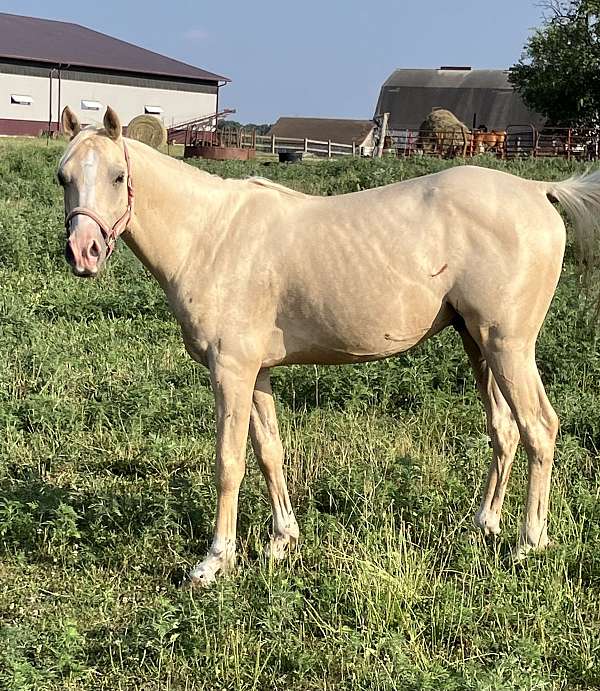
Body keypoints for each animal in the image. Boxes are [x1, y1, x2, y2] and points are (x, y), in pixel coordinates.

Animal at [58, 105, 600, 587]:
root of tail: (538, 191)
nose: (83, 253)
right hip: (477, 344)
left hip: (509, 347)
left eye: (117, 177)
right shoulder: (257, 373)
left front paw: (214, 562)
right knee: (504, 430)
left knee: (539, 429)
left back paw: (529, 543)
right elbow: (269, 452)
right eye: (64, 177)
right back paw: (483, 526)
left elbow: (229, 462)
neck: (211, 236)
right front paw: (281, 542)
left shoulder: (230, 371)